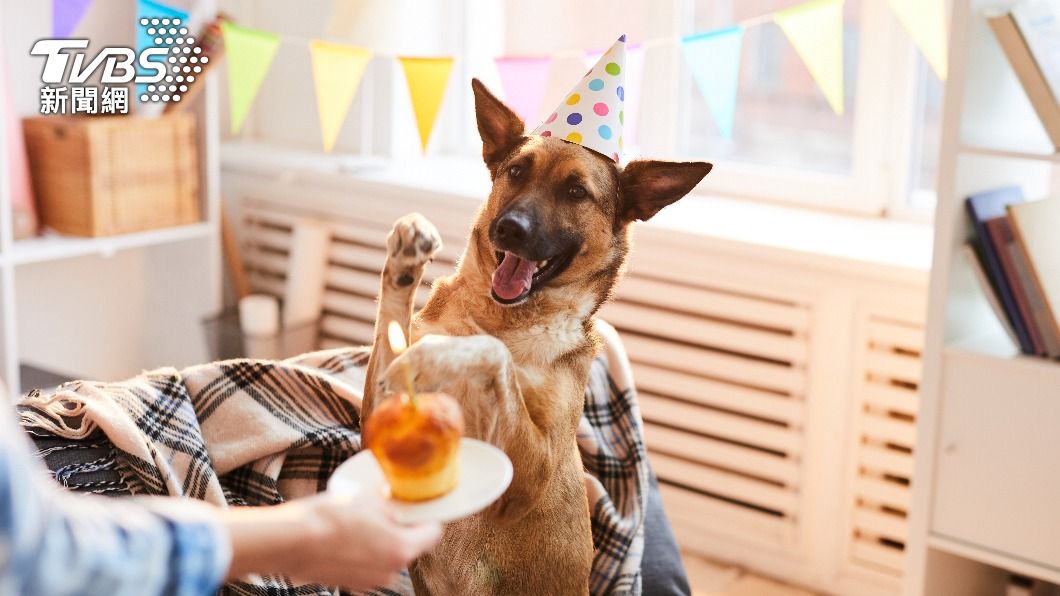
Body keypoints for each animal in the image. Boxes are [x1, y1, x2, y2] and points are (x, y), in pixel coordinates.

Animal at [364, 80, 712, 593]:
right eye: (515, 171)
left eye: (576, 191)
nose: (508, 228)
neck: (503, 318)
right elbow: (393, 322)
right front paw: (405, 259)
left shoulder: (530, 474)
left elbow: (493, 356)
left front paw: (451, 352)